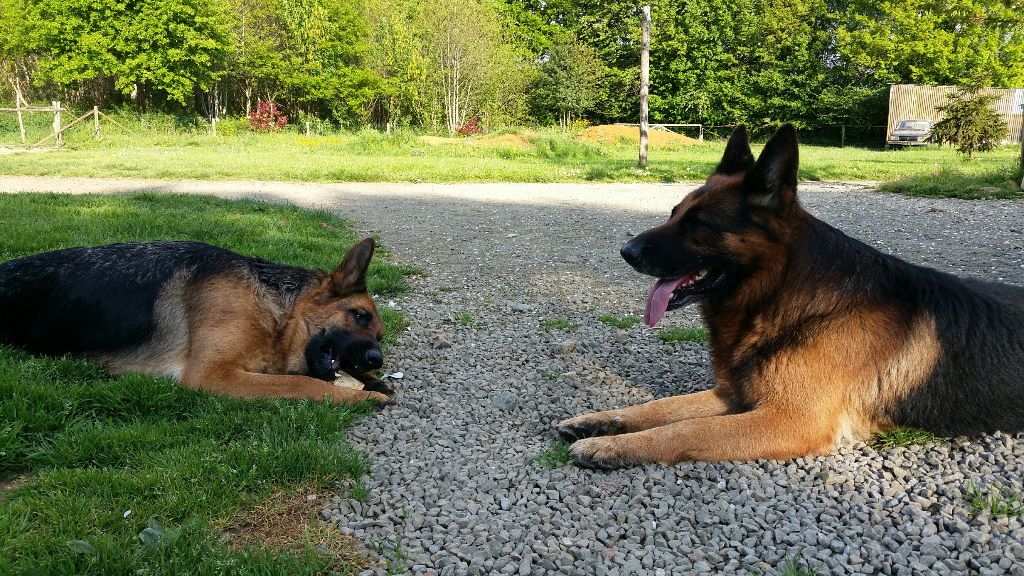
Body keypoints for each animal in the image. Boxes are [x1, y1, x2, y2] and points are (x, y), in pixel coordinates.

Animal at [0, 237, 393, 403]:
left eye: (380, 335)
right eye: (359, 315)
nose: (377, 359)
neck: (276, 312)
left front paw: (373, 382)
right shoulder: (211, 374)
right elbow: (303, 384)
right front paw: (364, 396)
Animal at [561, 124, 1024, 467]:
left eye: (699, 224)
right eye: (674, 214)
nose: (626, 251)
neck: (785, 291)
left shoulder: (789, 420)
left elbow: (681, 430)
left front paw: (611, 447)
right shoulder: (735, 395)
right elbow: (659, 408)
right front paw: (599, 422)